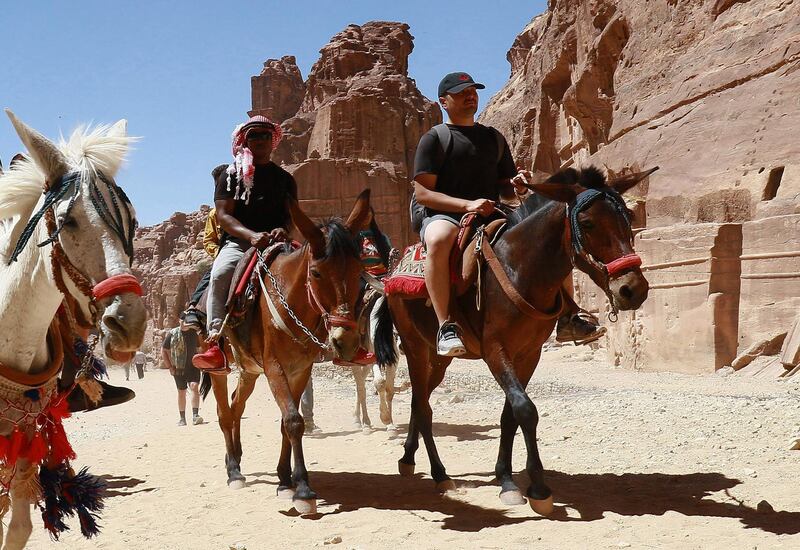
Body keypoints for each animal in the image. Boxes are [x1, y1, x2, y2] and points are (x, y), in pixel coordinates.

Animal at [205, 190, 370, 516]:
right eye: (316, 273)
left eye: (359, 270)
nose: (345, 341)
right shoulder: (274, 367)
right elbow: (293, 420)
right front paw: (303, 490)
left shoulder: (300, 369)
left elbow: (286, 422)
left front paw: (284, 480)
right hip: (222, 368)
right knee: (224, 412)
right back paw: (233, 471)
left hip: (249, 370)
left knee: (236, 405)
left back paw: (238, 457)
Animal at [378, 167, 652, 516]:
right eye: (588, 223)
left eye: (628, 217)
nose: (633, 289)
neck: (520, 269)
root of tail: (392, 273)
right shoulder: (496, 350)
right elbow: (525, 409)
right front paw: (538, 488)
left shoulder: (529, 353)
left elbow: (509, 415)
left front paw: (506, 479)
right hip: (415, 346)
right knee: (423, 406)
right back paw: (439, 474)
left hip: (439, 359)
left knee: (419, 400)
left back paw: (409, 457)